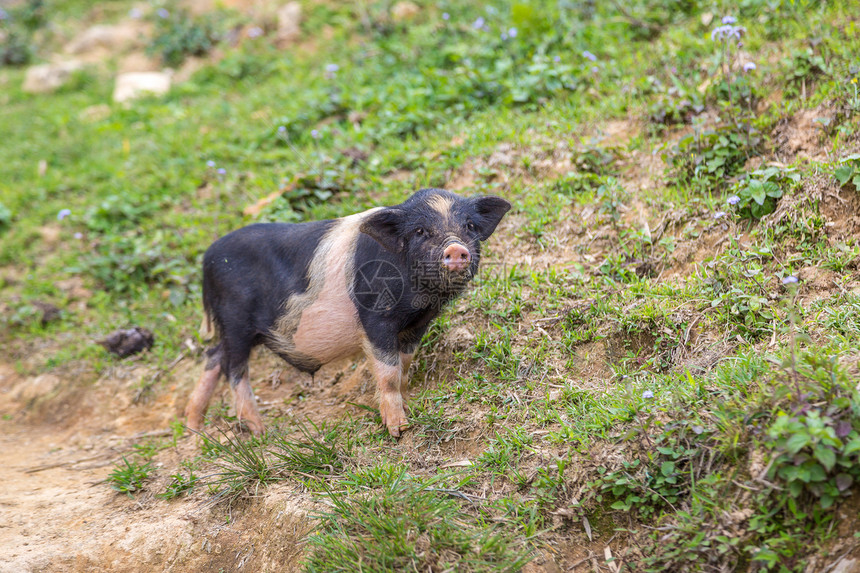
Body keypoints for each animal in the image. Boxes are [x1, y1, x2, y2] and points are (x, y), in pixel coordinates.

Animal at [186, 187, 510, 434]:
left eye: (469, 226)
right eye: (420, 231)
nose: (455, 248)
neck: (421, 297)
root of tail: (207, 260)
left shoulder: (419, 323)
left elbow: (404, 365)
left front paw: (408, 404)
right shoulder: (376, 316)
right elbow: (388, 371)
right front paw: (399, 429)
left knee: (213, 355)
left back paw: (195, 426)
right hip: (235, 318)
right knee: (233, 368)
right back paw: (258, 431)